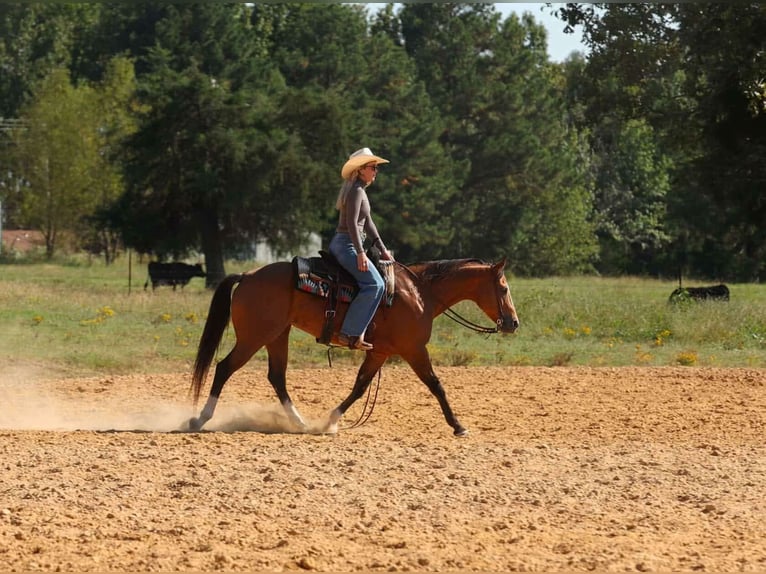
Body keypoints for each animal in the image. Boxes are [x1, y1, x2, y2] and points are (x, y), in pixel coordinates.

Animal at [189, 257, 519, 436]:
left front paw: (332, 419)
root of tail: (247, 275)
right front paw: (458, 425)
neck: (421, 293)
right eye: (503, 288)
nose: (513, 323)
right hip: (255, 336)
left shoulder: (380, 352)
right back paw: (199, 418)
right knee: (224, 368)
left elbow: (360, 387)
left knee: (277, 377)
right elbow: (436, 385)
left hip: (277, 335)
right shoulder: (414, 350)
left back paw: (300, 421)